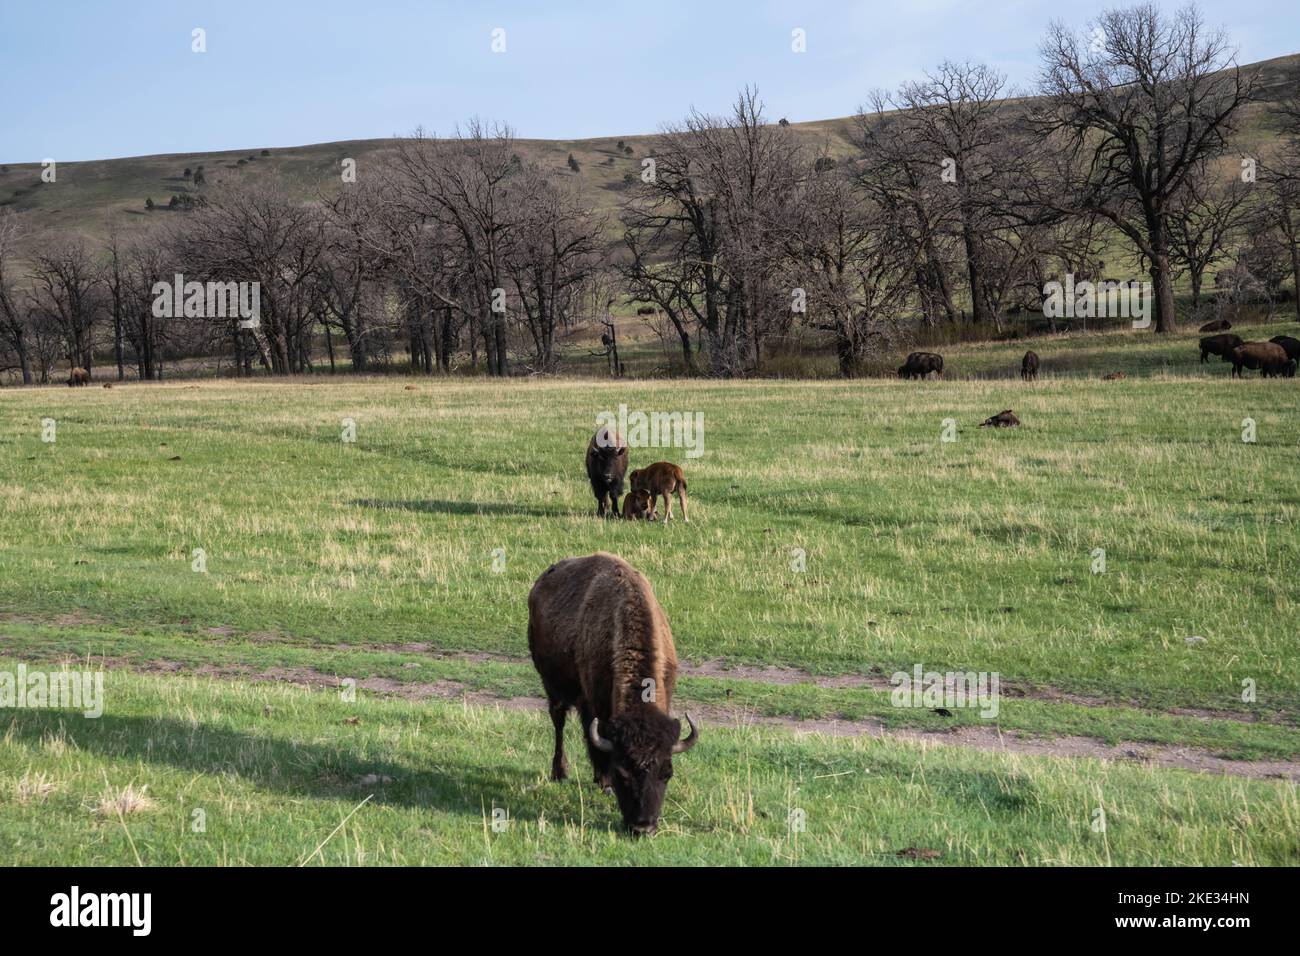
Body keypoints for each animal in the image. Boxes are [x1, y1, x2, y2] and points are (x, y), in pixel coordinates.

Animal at [528, 553, 698, 836]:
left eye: (667, 773)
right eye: (622, 773)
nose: (643, 827)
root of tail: (541, 582)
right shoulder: (595, 703)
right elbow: (594, 737)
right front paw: (605, 782)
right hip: (552, 685)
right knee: (559, 723)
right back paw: (560, 772)